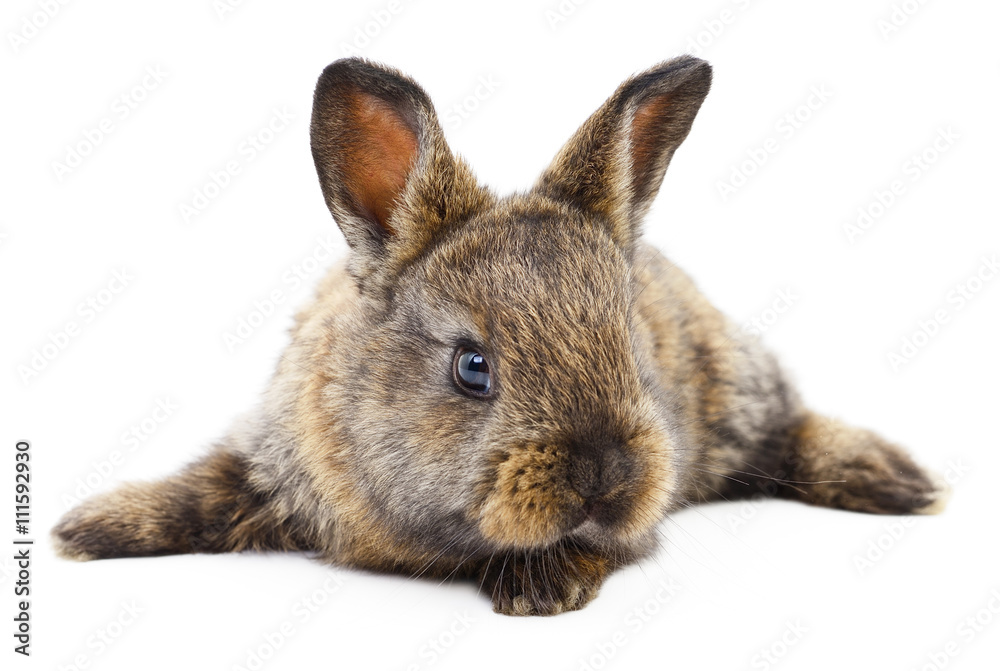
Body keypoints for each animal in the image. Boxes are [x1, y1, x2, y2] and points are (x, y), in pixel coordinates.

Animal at [52, 55, 949, 616]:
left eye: (632, 351)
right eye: (472, 367)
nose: (604, 471)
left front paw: (542, 591)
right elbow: (199, 489)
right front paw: (86, 530)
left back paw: (899, 481)